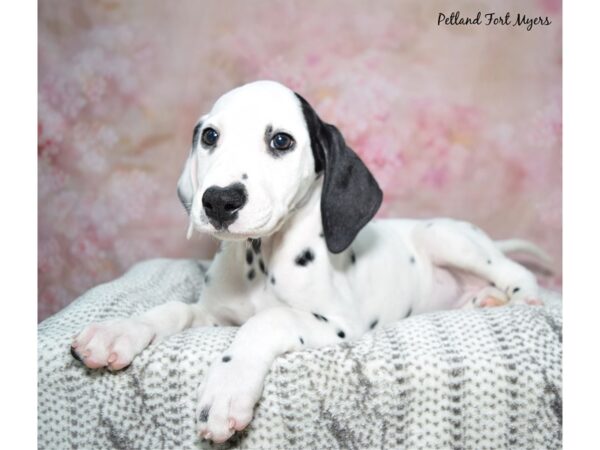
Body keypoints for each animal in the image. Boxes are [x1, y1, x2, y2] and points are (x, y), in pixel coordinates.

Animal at [70, 80, 548, 442]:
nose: (219, 201)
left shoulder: (339, 327)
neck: (261, 260)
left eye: (281, 140)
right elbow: (173, 309)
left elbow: (269, 319)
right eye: (210, 137)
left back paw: (521, 298)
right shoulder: (213, 315)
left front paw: (227, 387)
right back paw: (484, 300)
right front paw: (118, 332)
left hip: (448, 237)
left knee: (516, 271)